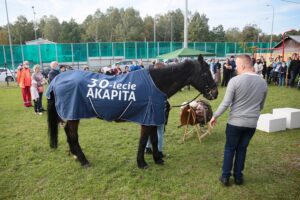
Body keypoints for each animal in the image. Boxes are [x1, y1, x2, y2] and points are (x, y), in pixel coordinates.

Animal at [48, 54, 219, 169]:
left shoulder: (152, 118)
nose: (215, 92)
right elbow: (144, 140)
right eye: (205, 73)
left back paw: (76, 156)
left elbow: (153, 139)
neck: (155, 84)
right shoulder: (147, 119)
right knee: (73, 135)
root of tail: (57, 79)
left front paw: (157, 159)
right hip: (73, 115)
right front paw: (142, 162)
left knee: (68, 133)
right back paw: (83, 160)